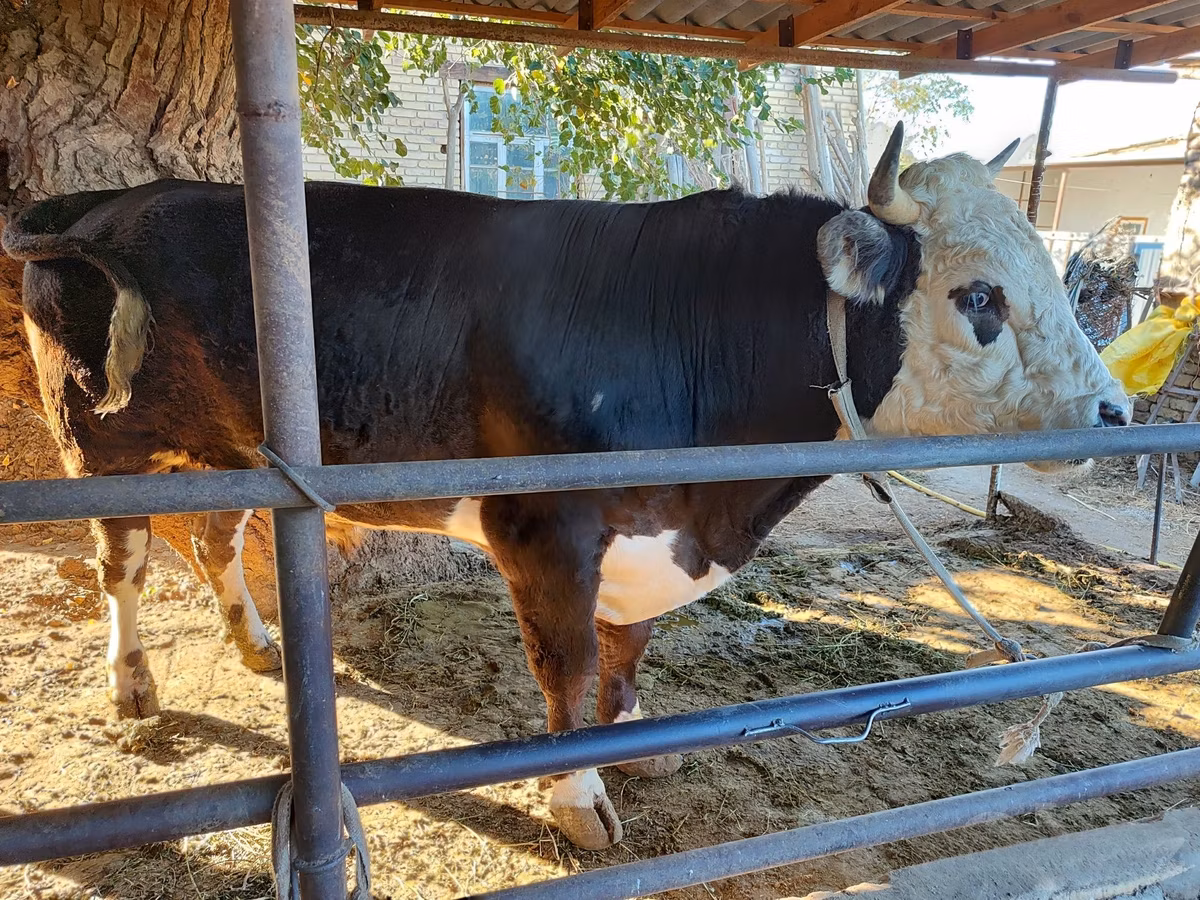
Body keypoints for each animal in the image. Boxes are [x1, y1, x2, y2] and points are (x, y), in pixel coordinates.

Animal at [2, 123, 1130, 850]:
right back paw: (133, 683)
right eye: (978, 297)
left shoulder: (649, 539)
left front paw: (640, 743)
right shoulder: (542, 528)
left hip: (239, 441)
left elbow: (627, 655)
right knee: (122, 562)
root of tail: (112, 201)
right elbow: (571, 667)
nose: (1117, 413)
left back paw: (254, 642)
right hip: (93, 441)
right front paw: (577, 797)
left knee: (215, 537)